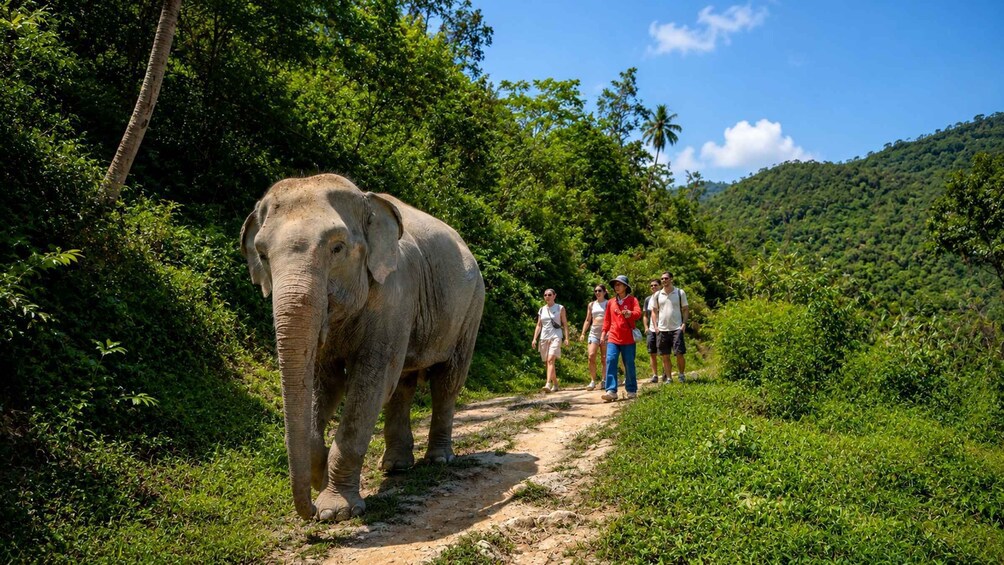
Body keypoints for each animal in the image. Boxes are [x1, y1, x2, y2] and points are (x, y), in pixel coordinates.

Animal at [240, 173, 484, 521]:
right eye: (261, 254)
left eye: (337, 248)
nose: (309, 511)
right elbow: (326, 381)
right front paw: (318, 475)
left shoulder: (395, 293)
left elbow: (371, 380)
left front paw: (335, 511)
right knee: (403, 384)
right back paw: (396, 467)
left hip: (472, 306)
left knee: (446, 380)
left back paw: (439, 460)